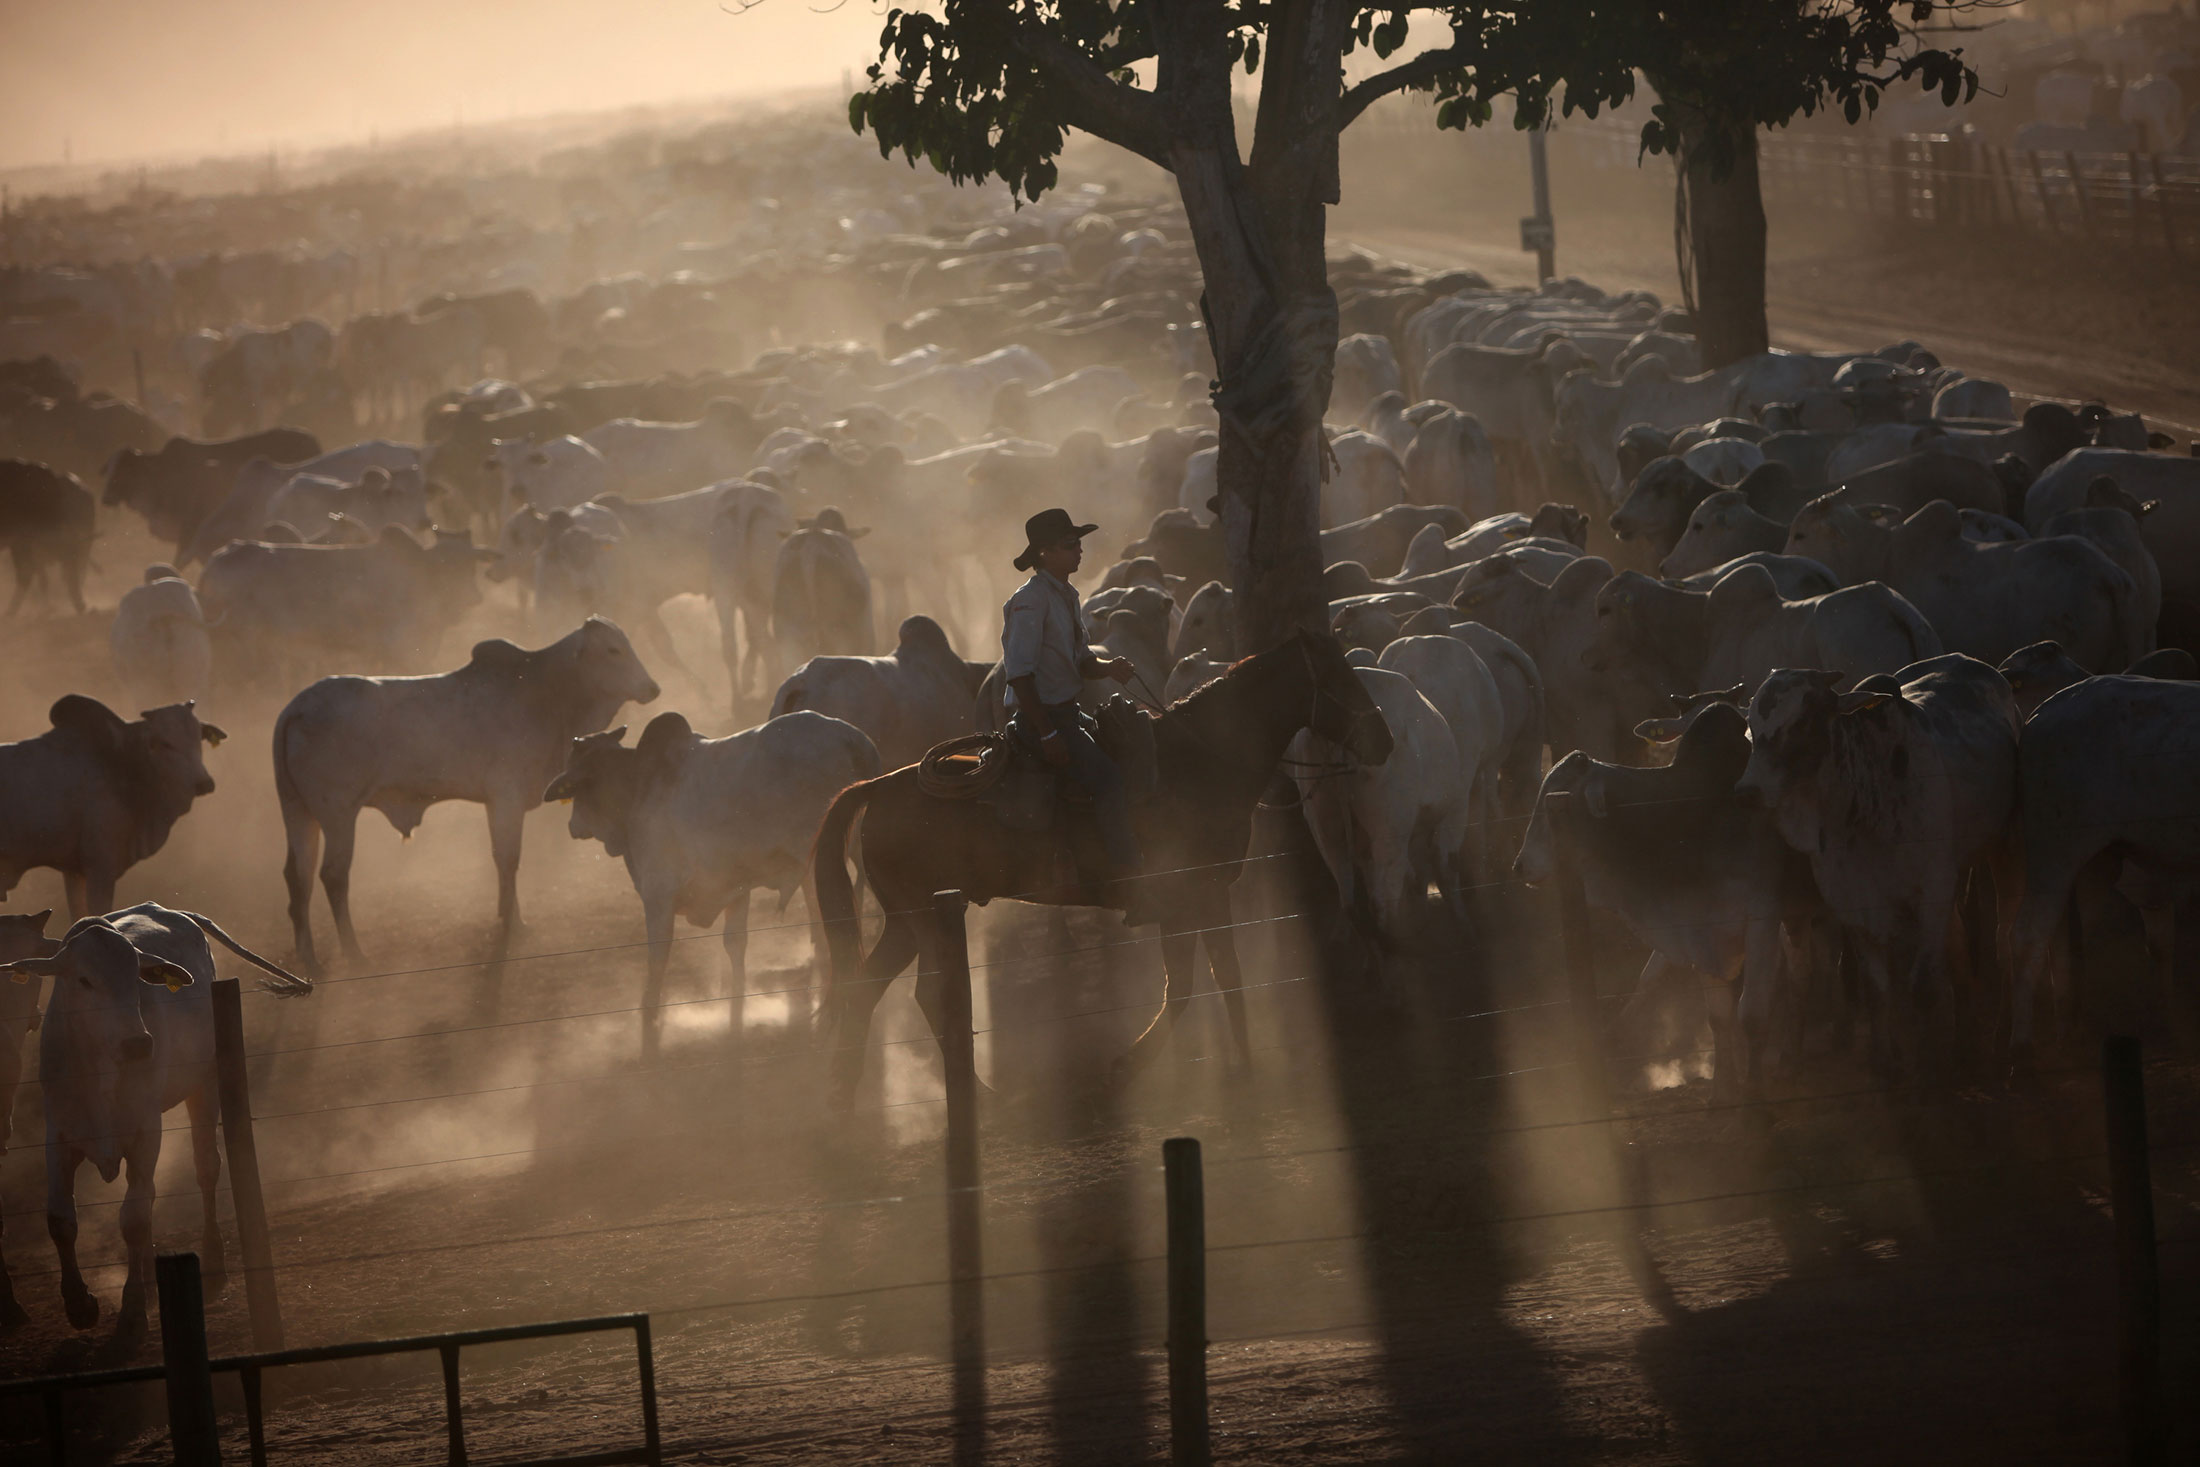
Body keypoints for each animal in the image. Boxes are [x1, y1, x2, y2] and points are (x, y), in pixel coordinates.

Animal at [809, 629, 1390, 1099]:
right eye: (1336, 675)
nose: (1382, 740)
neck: (1197, 761)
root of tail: (880, 784)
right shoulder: (1181, 899)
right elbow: (1183, 988)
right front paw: (1127, 1066)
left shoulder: (1211, 893)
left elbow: (1227, 975)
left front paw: (1244, 1066)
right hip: (923, 920)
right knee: (931, 995)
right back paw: (977, 1094)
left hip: (907, 923)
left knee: (867, 989)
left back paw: (842, 1095)